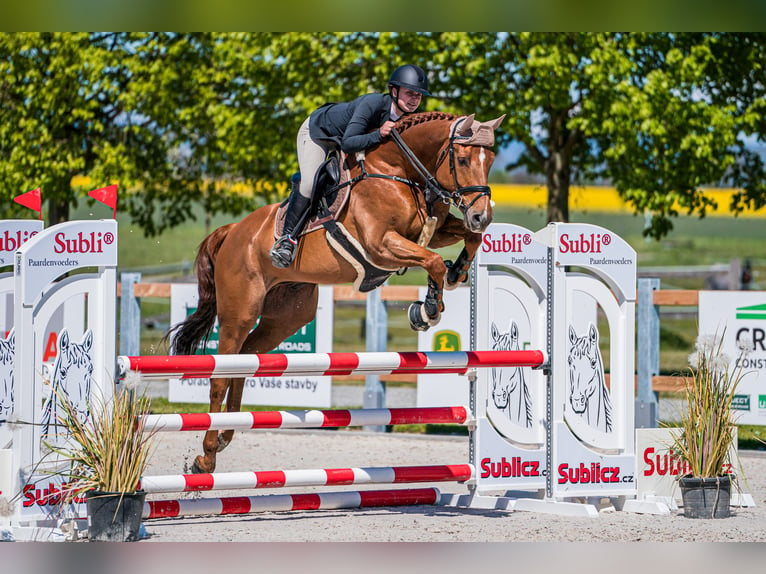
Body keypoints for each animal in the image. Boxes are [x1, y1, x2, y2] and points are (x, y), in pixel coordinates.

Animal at [171, 110, 508, 474]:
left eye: (490, 161)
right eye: (462, 160)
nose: (481, 215)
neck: (400, 171)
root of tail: (233, 231)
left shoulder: (432, 230)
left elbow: (464, 242)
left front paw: (456, 271)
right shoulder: (381, 246)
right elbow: (431, 261)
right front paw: (427, 310)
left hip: (288, 316)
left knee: (246, 362)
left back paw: (224, 436)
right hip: (240, 311)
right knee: (221, 373)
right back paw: (205, 457)